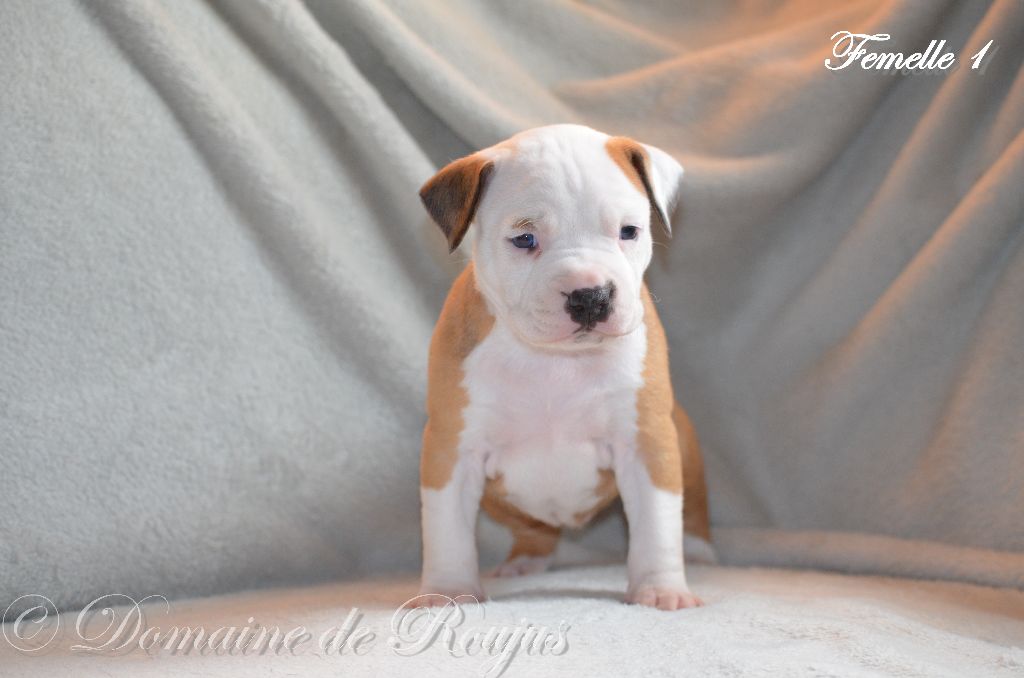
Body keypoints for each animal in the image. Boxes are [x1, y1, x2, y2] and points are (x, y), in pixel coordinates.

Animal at [416, 124, 711, 610]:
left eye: (629, 231)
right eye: (524, 239)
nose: (590, 296)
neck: (554, 362)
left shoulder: (646, 442)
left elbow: (656, 524)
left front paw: (661, 589)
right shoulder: (452, 448)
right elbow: (447, 528)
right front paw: (449, 590)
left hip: (683, 443)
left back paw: (701, 552)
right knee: (533, 528)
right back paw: (525, 560)